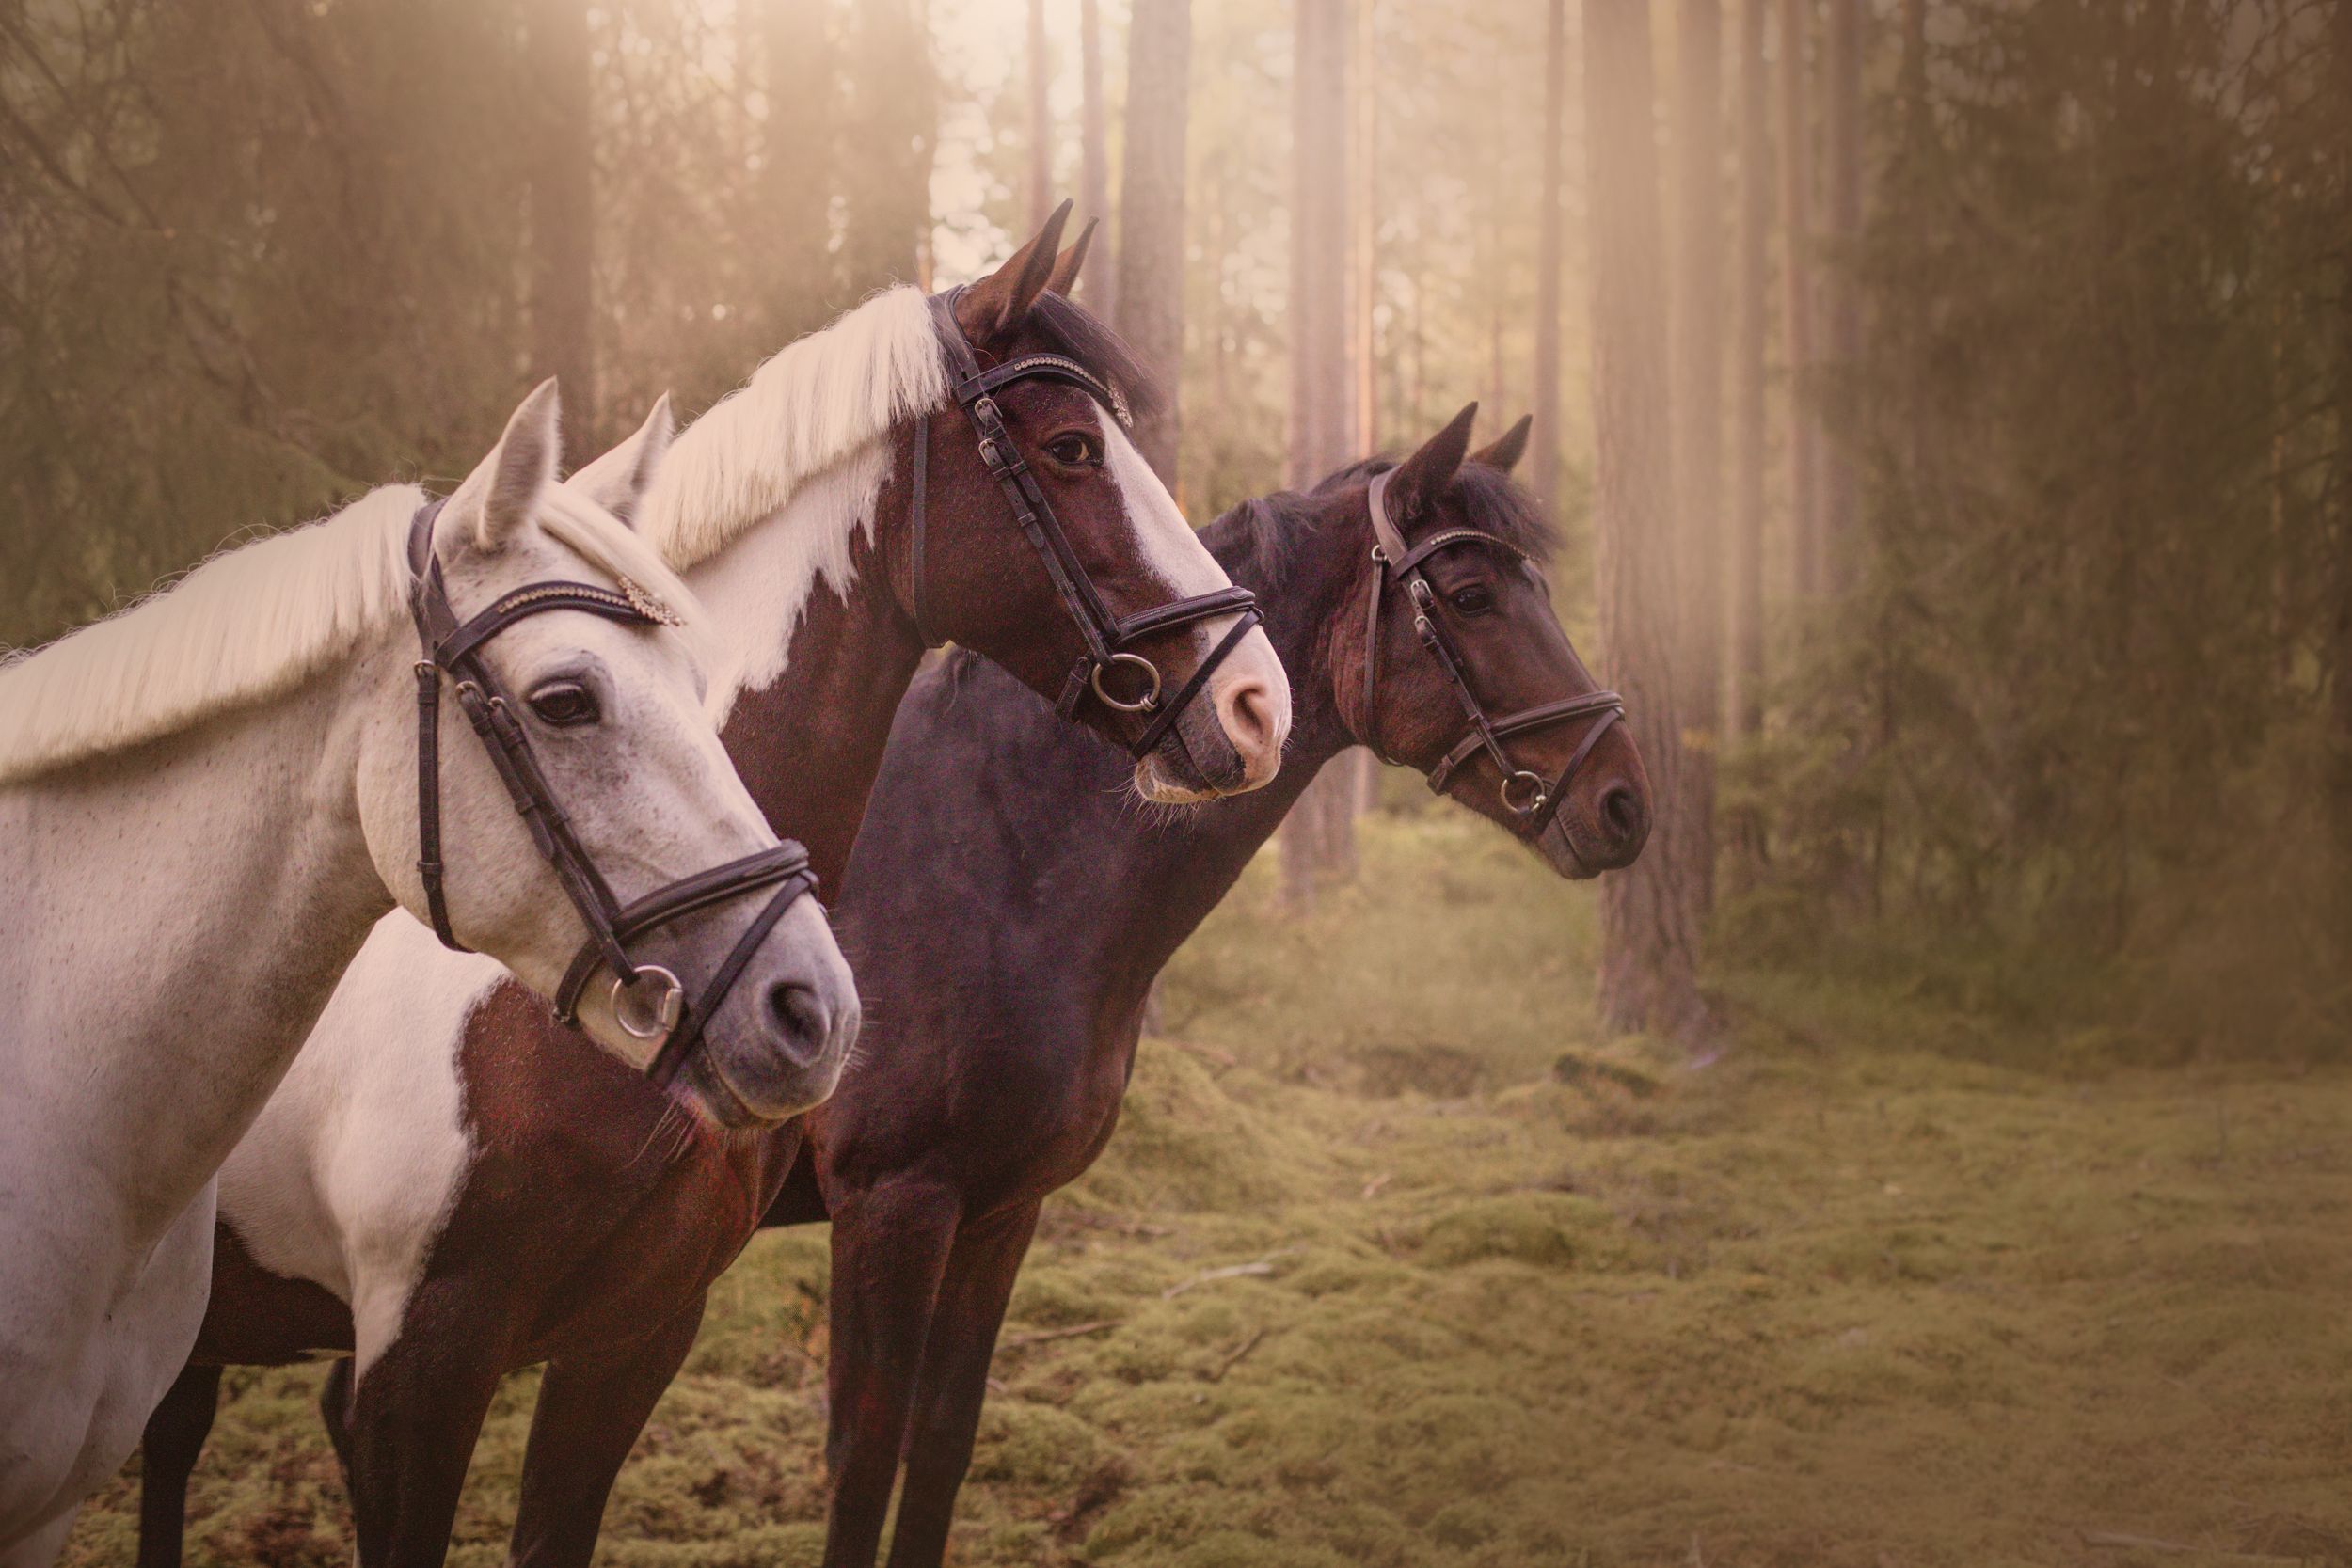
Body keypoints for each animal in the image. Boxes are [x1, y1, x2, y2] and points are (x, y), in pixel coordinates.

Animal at [133, 402, 1643, 1568]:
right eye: (1471, 594)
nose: (1623, 802)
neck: (1001, 864)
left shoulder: (1000, 1211)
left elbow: (942, 1443)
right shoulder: (895, 1202)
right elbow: (862, 1459)